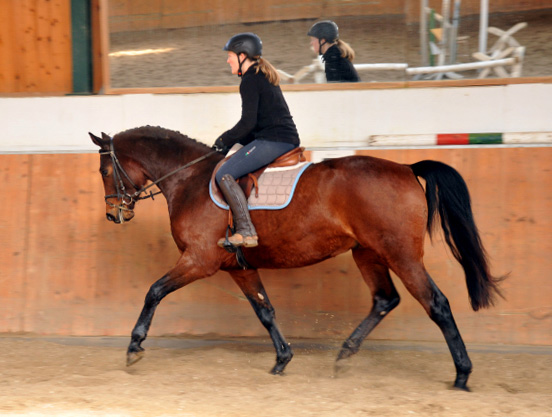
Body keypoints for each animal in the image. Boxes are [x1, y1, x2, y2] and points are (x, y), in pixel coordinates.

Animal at [88, 125, 502, 388]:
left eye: (105, 169)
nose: (113, 214)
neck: (189, 180)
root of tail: (404, 167)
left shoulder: (199, 261)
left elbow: (154, 291)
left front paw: (135, 346)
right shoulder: (238, 267)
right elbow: (265, 311)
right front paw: (282, 359)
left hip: (401, 254)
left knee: (437, 304)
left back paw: (462, 374)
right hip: (367, 252)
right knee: (385, 299)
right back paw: (344, 355)